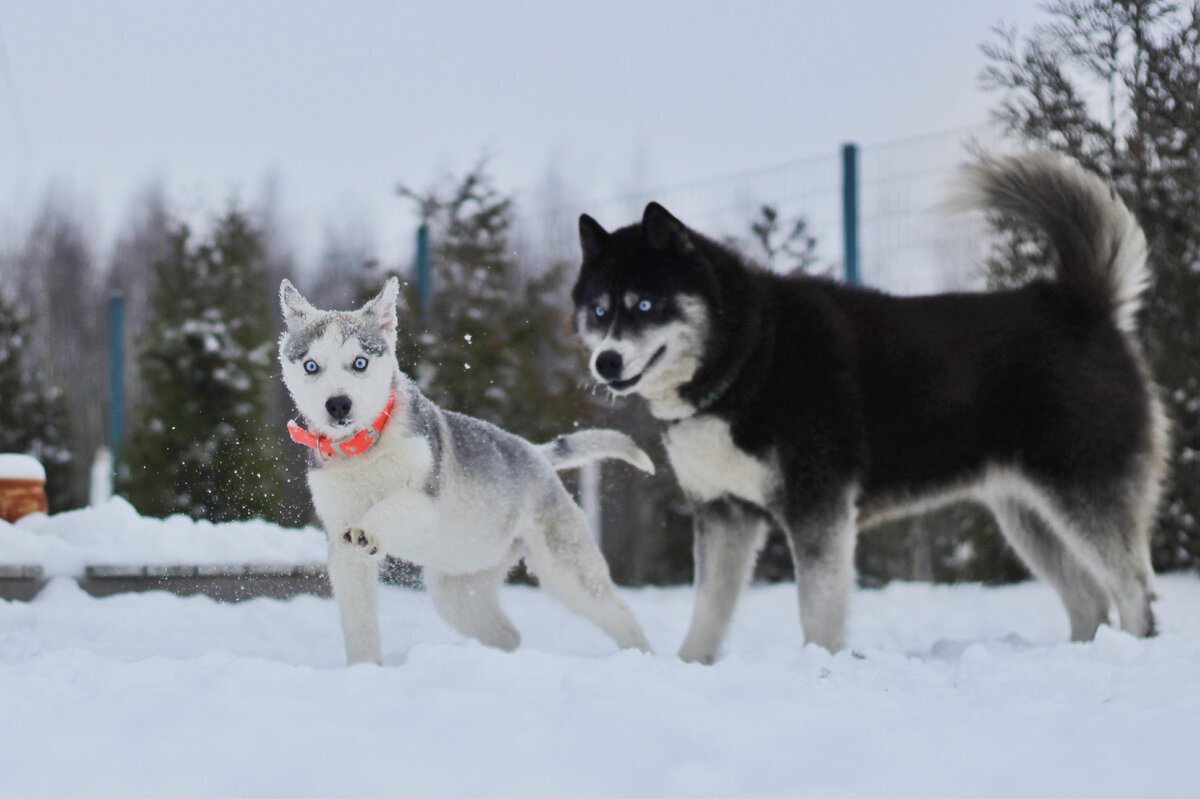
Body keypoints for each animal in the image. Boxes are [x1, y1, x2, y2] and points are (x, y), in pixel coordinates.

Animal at [279, 277, 652, 662]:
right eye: (311, 366)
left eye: (359, 362)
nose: (338, 404)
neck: (364, 451)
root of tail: (534, 452)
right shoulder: (341, 544)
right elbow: (359, 625)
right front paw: (364, 668)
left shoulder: (426, 501)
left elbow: (390, 506)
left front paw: (368, 529)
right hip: (458, 586)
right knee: (507, 633)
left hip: (565, 568)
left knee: (618, 612)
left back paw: (642, 656)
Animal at [576, 153, 1166, 657]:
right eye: (599, 309)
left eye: (645, 304)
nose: (605, 362)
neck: (751, 355)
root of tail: (1080, 305)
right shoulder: (724, 514)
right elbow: (708, 611)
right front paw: (690, 667)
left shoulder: (818, 507)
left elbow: (817, 607)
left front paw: (821, 665)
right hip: (1028, 517)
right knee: (1090, 600)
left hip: (1082, 494)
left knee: (1135, 592)